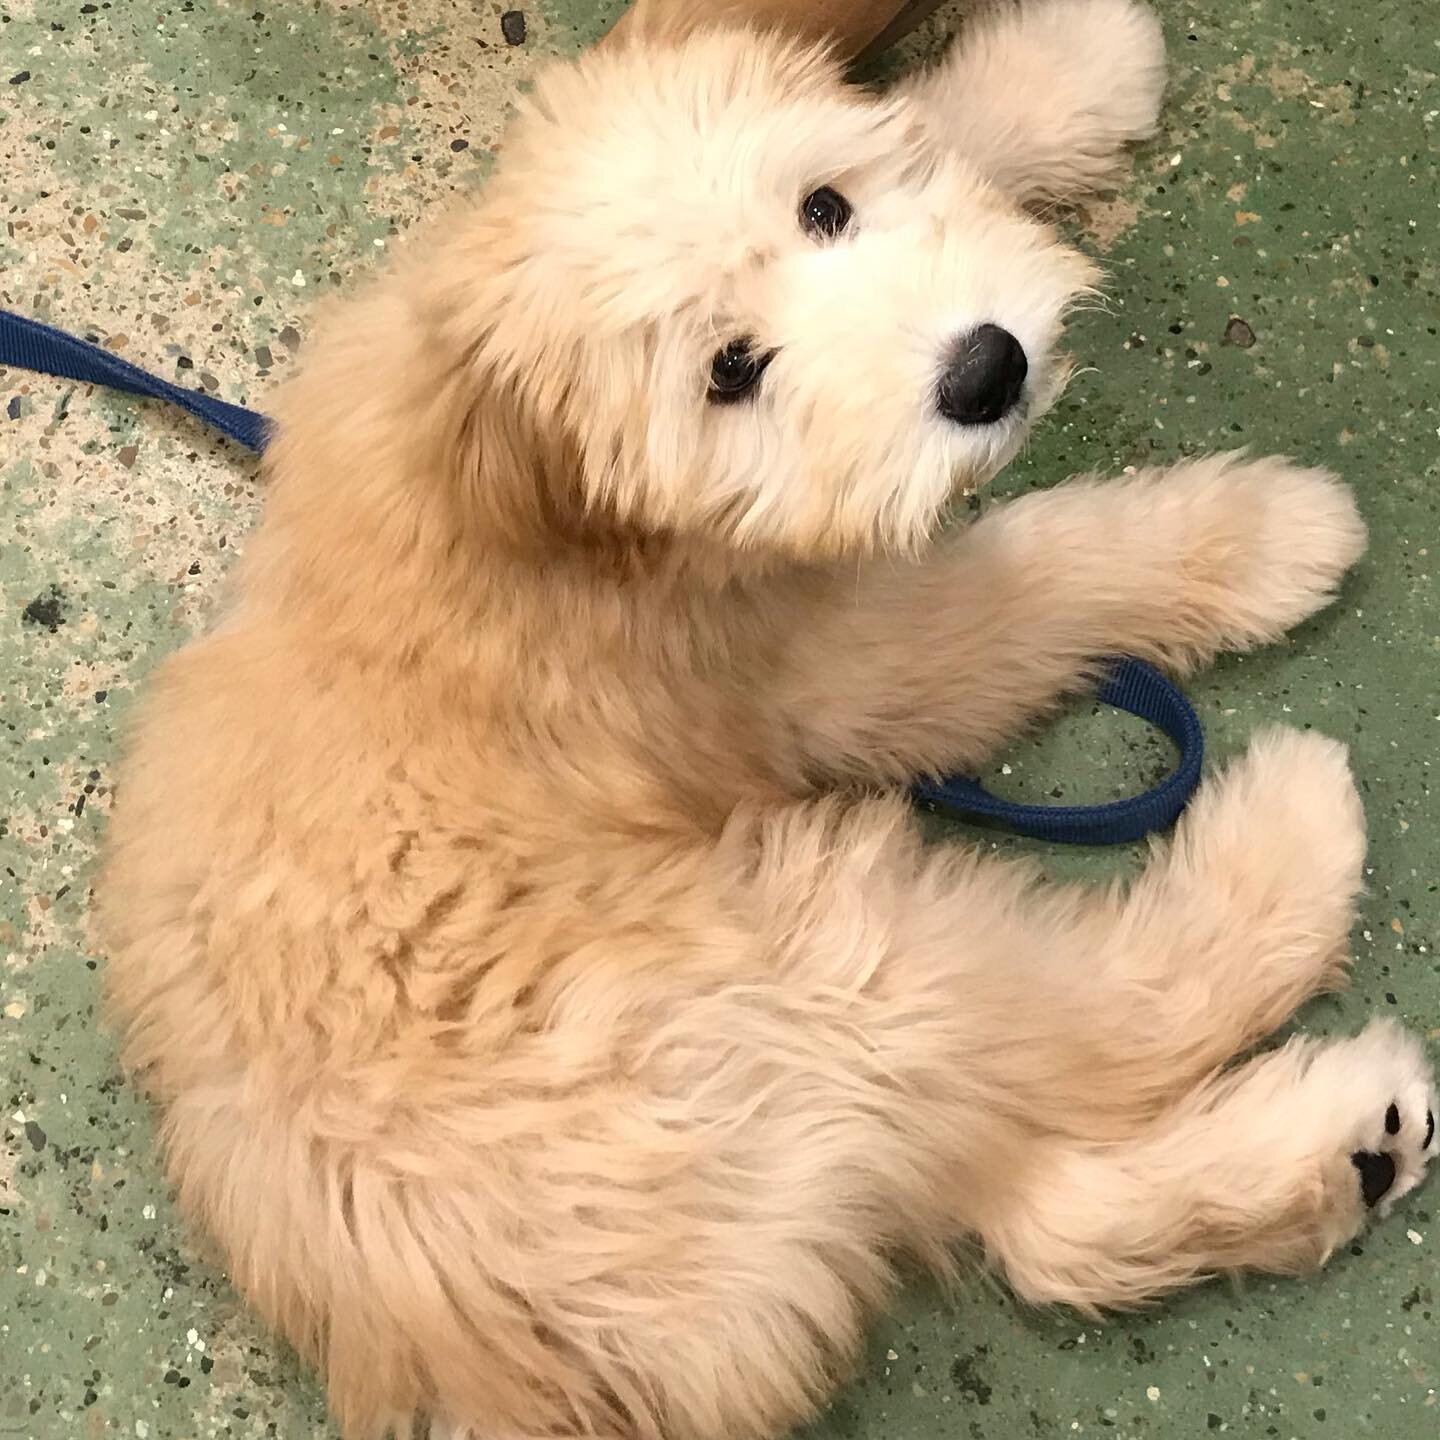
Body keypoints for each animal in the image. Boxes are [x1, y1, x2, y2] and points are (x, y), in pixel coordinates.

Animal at [95, 2, 1434, 1440]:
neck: (581, 521)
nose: (988, 369)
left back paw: (1346, 1149)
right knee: (1109, 1029)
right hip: (807, 973)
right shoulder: (845, 662)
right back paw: (1292, 837)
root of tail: (519, 1363)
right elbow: (1044, 570)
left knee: (1052, 1222)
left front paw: (1073, 68)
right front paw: (1257, 537)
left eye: (825, 207)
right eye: (731, 371)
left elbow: (946, 126)